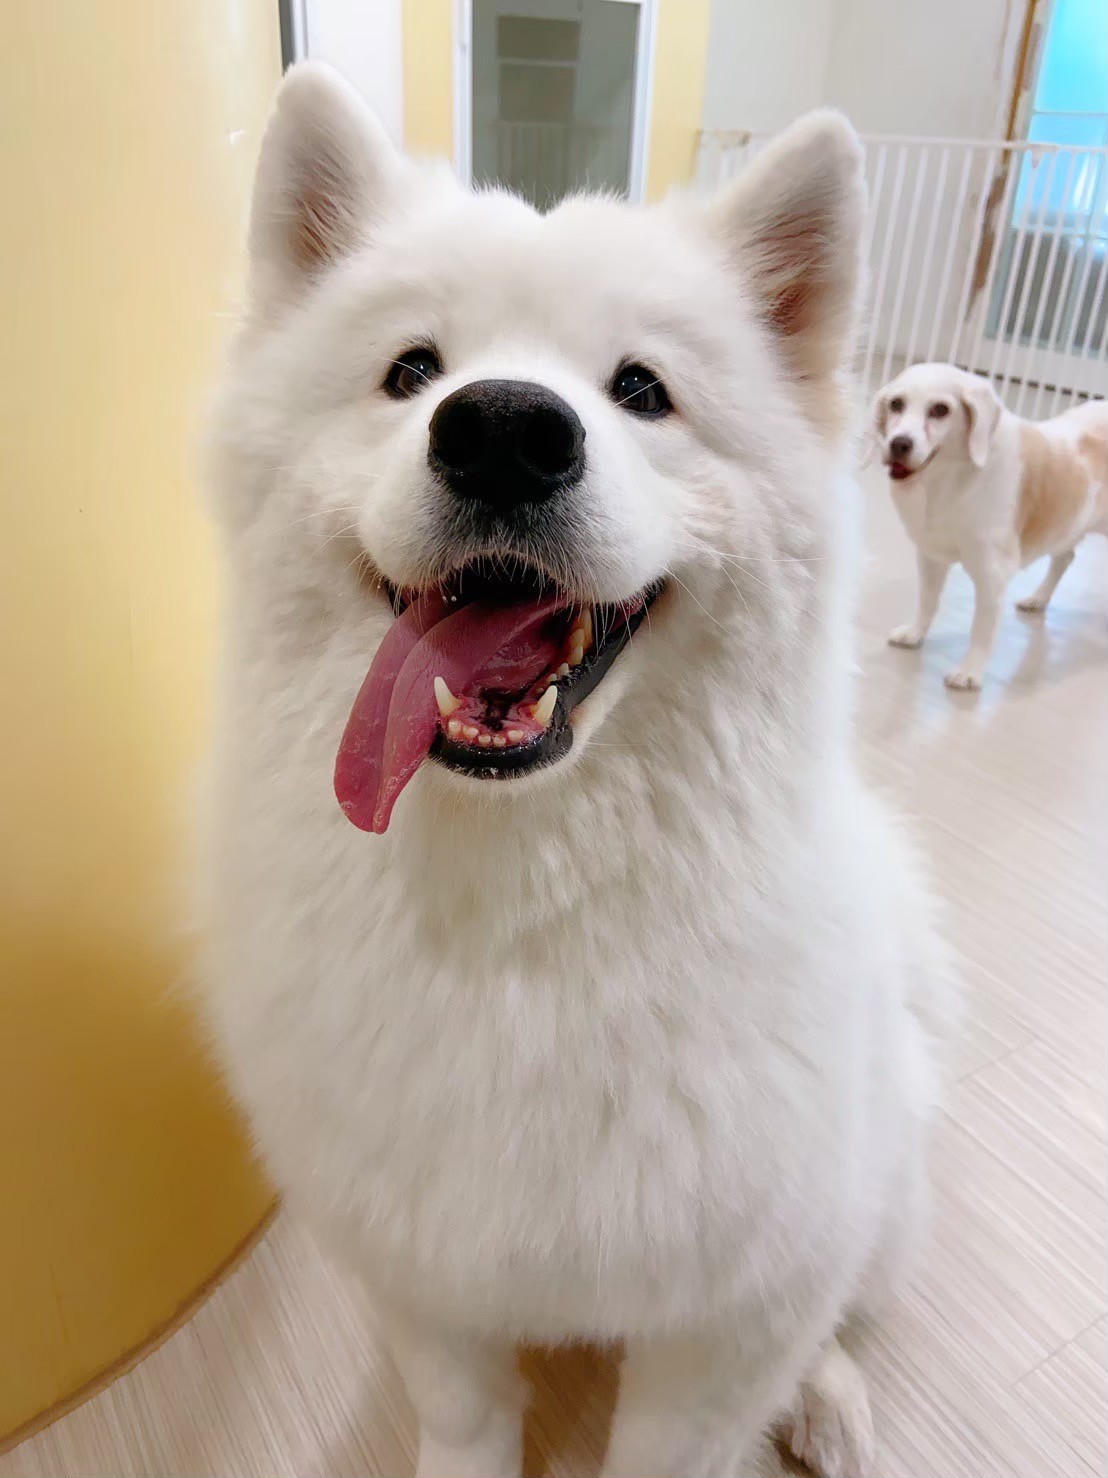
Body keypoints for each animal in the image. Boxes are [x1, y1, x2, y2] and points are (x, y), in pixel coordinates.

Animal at [200, 63, 953, 1478]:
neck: (521, 905)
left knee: (846, 1306)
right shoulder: (425, 1262)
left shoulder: (729, 1314)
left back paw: (825, 1402)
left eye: (643, 390)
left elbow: (696, 1420)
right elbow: (464, 1418)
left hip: (871, 1187)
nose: (501, 429)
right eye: (411, 371)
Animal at [874, 362, 1108, 690]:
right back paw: (1037, 598)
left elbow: (981, 629)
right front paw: (915, 633)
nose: (898, 444)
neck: (949, 480)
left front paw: (970, 671)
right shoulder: (931, 557)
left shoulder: (991, 575)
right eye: (896, 404)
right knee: (1064, 558)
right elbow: (927, 602)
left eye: (940, 409)